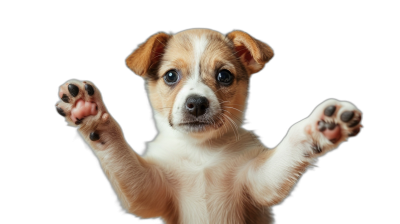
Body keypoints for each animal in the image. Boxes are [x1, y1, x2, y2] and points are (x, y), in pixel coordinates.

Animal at [54, 28, 364, 223]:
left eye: (224, 76)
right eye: (171, 76)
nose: (196, 104)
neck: (201, 152)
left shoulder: (259, 183)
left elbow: (289, 148)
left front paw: (320, 125)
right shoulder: (149, 191)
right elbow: (120, 156)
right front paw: (92, 113)